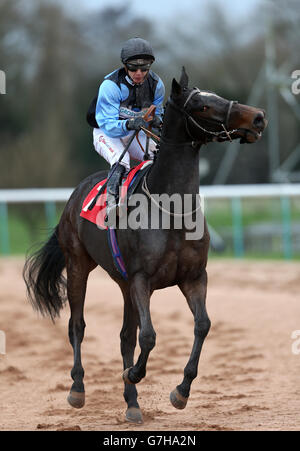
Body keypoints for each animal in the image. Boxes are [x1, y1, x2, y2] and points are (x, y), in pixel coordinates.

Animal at [23, 66, 268, 424]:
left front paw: (180, 392)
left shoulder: (193, 277)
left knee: (125, 336)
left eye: (218, 96)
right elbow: (149, 336)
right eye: (203, 106)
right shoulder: (142, 279)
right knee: (77, 325)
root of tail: (74, 195)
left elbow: (202, 325)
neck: (172, 209)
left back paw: (132, 404)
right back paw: (78, 389)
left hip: (123, 283)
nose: (259, 117)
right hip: (79, 263)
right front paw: (135, 374)